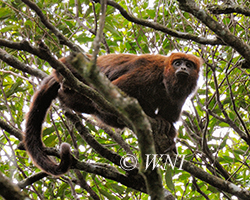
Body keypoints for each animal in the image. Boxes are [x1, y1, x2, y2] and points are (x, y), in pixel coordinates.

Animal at [24, 52, 202, 175]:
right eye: (177, 63)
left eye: (189, 64)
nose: (183, 68)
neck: (166, 77)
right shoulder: (149, 72)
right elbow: (121, 88)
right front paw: (154, 120)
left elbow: (169, 118)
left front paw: (167, 135)